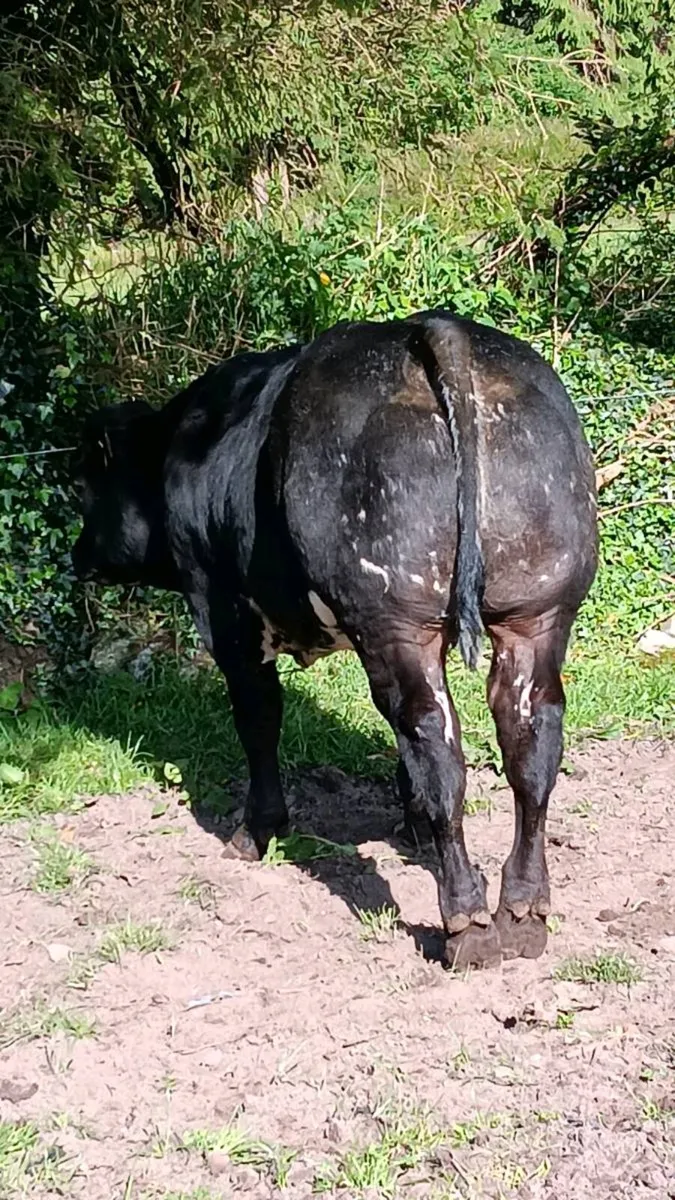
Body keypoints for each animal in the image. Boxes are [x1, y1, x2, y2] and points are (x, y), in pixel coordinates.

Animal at [71, 310, 598, 969]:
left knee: (436, 744)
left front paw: (257, 830)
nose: (76, 554)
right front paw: (412, 826)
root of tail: (437, 326)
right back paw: (523, 911)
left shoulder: (224, 611)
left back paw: (467, 924)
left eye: (88, 485)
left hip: (394, 619)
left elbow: (259, 720)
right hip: (539, 612)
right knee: (528, 739)